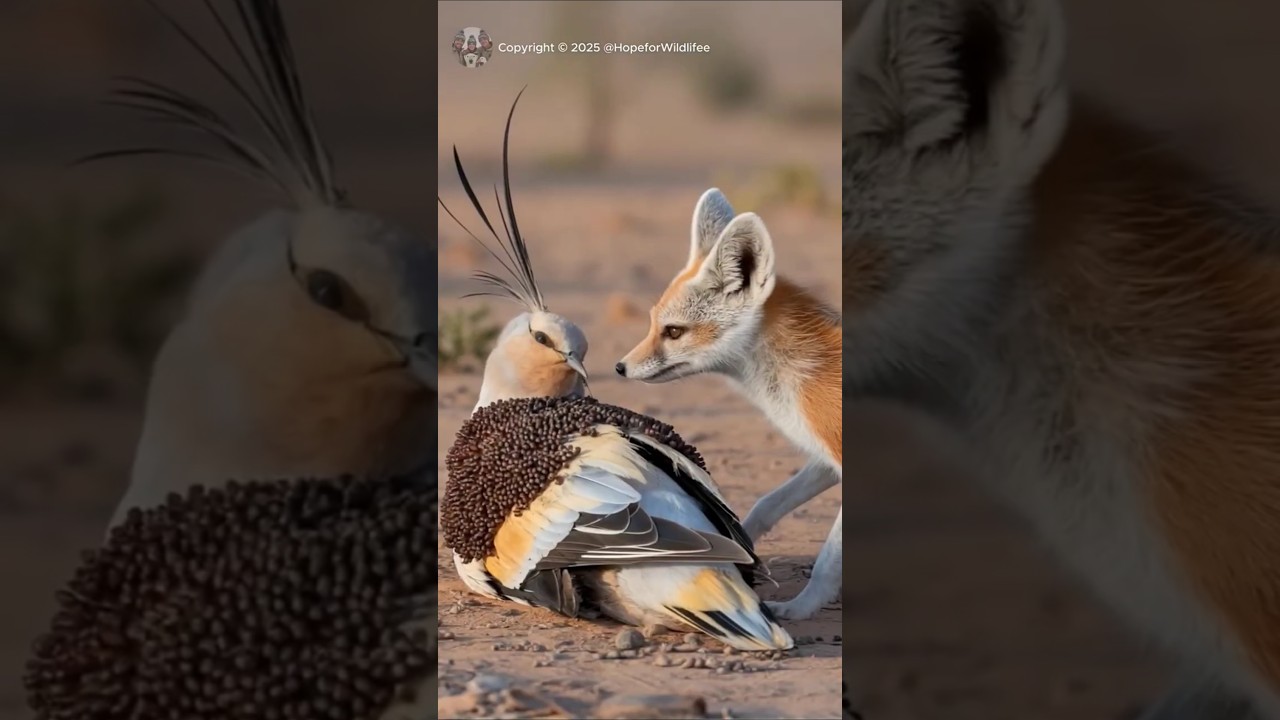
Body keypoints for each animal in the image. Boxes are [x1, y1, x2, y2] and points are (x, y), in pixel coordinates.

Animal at [614, 188, 843, 621]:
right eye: (652, 324)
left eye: (673, 332)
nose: (620, 367)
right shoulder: (824, 456)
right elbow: (766, 505)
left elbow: (827, 560)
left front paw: (800, 607)